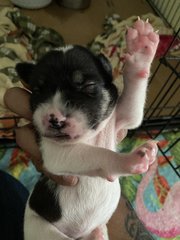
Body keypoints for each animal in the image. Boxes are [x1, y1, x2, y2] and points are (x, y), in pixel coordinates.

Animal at [15, 19, 159, 239]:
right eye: (37, 91)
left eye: (88, 86)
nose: (55, 120)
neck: (89, 137)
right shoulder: (56, 154)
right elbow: (97, 153)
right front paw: (129, 160)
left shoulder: (121, 118)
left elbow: (133, 97)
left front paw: (141, 48)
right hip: (45, 231)